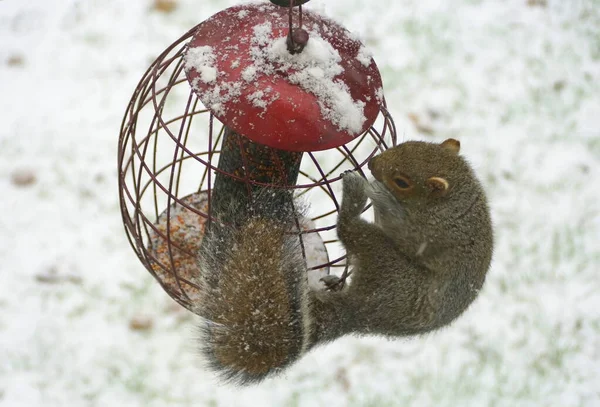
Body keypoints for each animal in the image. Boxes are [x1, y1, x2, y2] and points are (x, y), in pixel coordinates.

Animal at [196, 138, 492, 386]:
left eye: (402, 181)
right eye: (409, 144)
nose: (372, 164)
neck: (451, 200)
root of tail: (359, 315)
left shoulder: (425, 232)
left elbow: (399, 226)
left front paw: (378, 192)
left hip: (389, 267)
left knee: (348, 229)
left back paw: (354, 195)